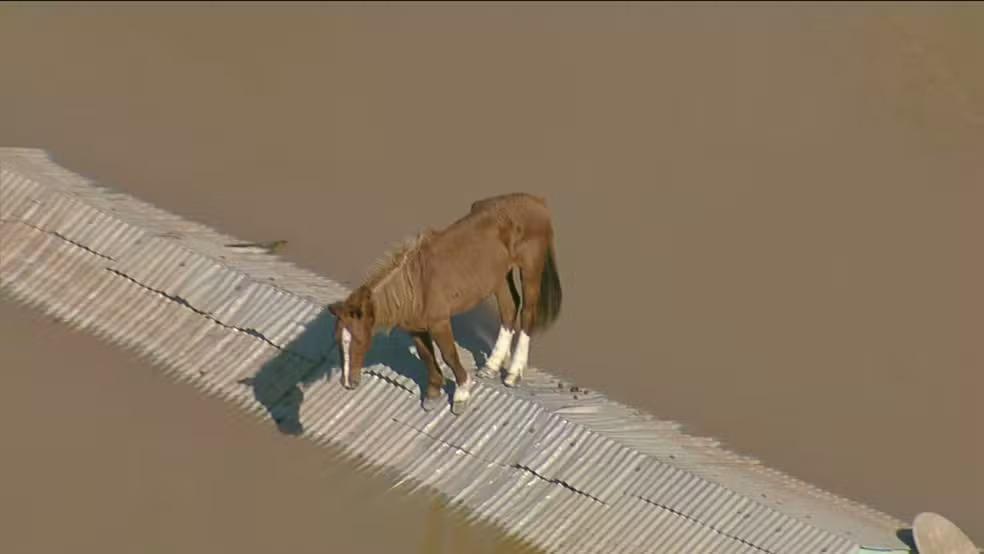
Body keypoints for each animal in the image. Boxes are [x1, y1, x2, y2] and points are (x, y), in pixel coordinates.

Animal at [327, 192, 562, 415]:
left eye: (358, 340)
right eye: (338, 341)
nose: (347, 383)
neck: (415, 287)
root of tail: (537, 202)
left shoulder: (439, 323)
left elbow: (449, 355)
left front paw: (461, 394)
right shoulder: (415, 328)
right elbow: (426, 356)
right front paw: (432, 394)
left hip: (530, 269)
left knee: (527, 313)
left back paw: (513, 374)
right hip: (500, 276)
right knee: (509, 308)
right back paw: (491, 366)